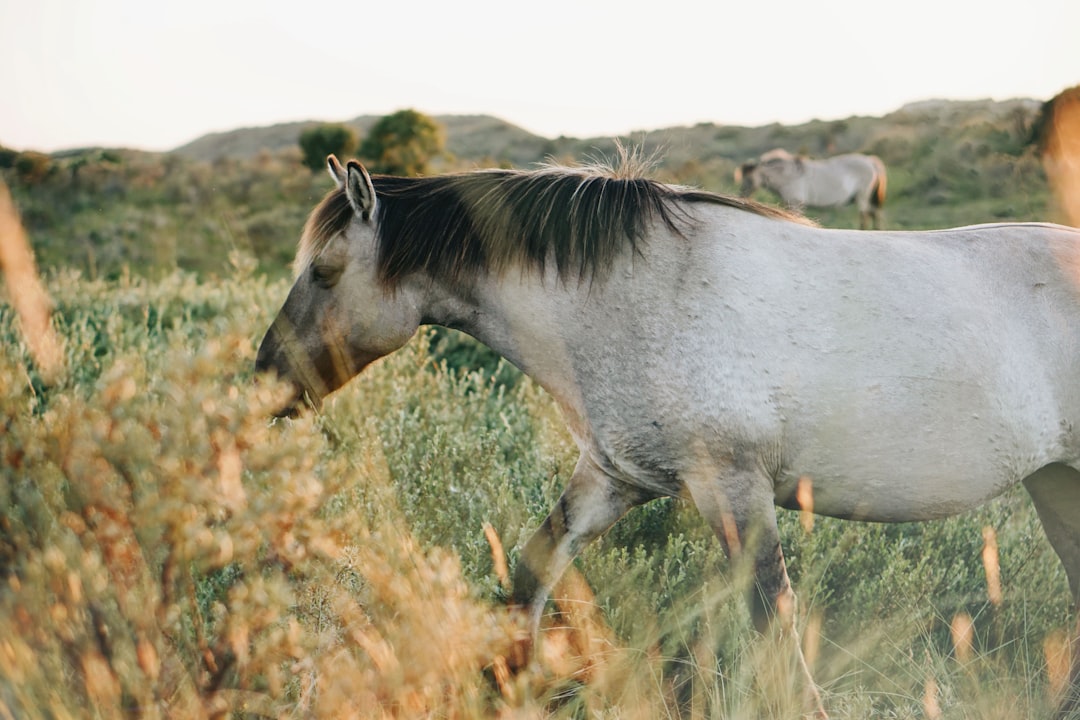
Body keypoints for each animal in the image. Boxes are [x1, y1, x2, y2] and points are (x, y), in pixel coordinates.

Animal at [738, 150, 889, 231]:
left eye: (749, 179)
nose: (742, 197)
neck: (788, 175)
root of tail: (870, 160)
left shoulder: (795, 203)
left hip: (863, 196)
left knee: (865, 216)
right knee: (874, 214)